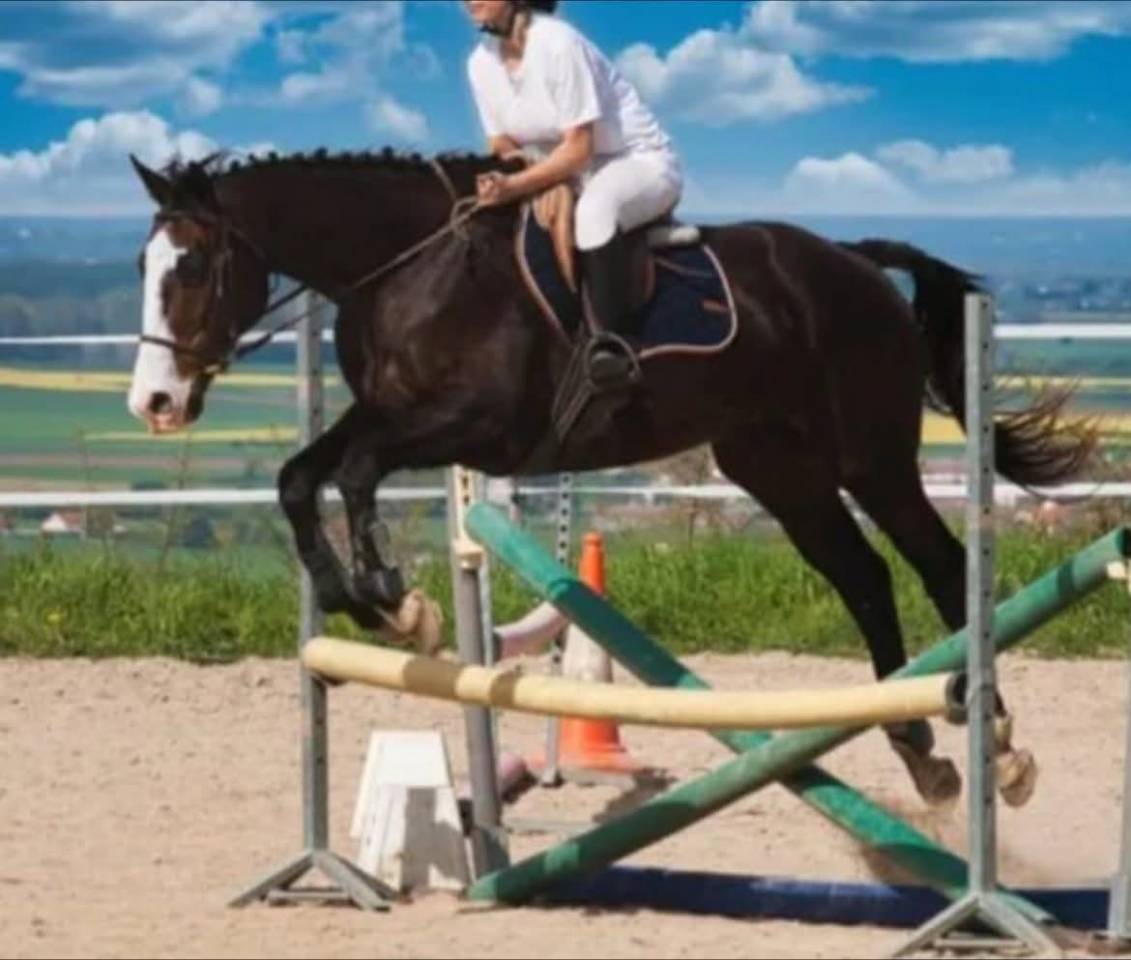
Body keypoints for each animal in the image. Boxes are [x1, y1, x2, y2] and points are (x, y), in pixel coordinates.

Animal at [125, 149, 1096, 807]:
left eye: (194, 267)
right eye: (141, 267)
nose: (155, 402)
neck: (409, 265)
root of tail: (854, 260)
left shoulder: (474, 426)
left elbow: (356, 474)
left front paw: (397, 600)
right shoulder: (389, 414)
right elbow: (299, 478)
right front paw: (359, 603)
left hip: (871, 458)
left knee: (938, 564)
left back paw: (994, 741)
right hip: (775, 467)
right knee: (861, 575)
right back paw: (918, 748)